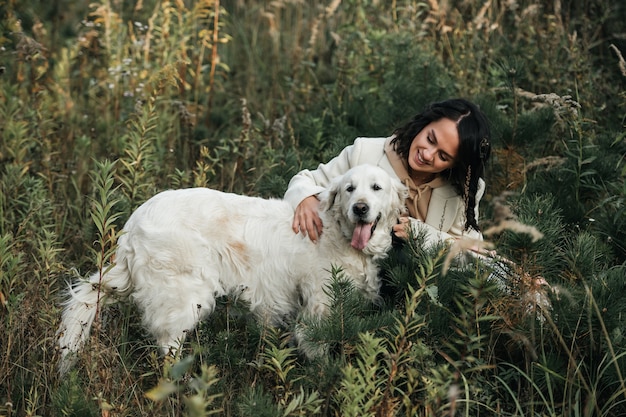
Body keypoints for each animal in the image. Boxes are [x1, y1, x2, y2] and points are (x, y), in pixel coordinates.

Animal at [57, 164, 404, 372]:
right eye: (349, 188)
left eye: (376, 187)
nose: (360, 208)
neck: (339, 233)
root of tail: (134, 223)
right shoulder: (319, 305)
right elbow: (315, 350)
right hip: (185, 296)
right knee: (168, 346)